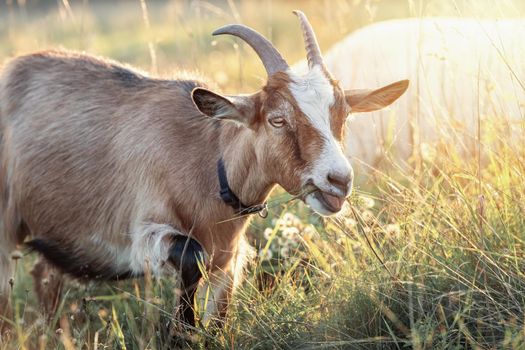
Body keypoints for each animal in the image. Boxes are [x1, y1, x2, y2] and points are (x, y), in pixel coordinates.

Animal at [0, 10, 408, 334]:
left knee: (44, 278)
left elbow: (221, 314)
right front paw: (183, 329)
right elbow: (190, 258)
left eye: (342, 116)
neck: (210, 166)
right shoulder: (144, 234)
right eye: (277, 119)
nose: (338, 180)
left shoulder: (229, 261)